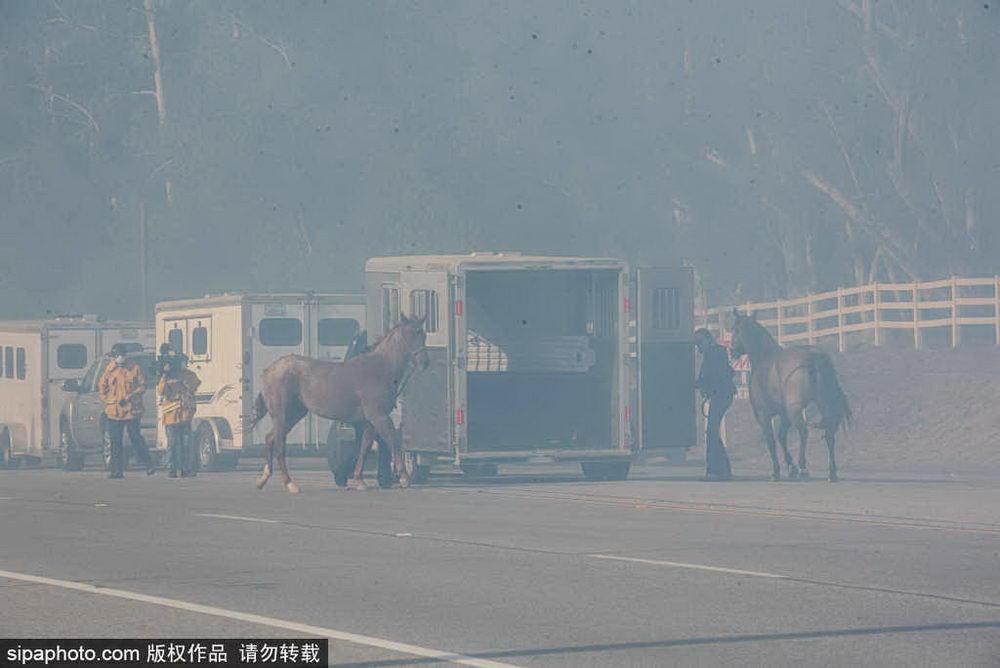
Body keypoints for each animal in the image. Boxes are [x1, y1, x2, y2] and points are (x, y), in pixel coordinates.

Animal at [252, 314, 428, 490]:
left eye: (424, 334)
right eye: (411, 333)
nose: (425, 363)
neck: (379, 369)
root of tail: (269, 370)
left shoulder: (369, 421)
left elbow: (364, 447)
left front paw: (359, 480)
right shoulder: (379, 416)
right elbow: (393, 440)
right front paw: (404, 478)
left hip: (294, 414)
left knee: (270, 438)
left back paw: (263, 479)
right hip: (282, 414)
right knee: (279, 445)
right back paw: (290, 484)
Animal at [728, 310, 852, 482]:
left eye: (734, 329)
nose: (731, 351)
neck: (764, 357)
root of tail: (814, 358)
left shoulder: (763, 414)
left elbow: (771, 439)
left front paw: (776, 471)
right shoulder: (784, 414)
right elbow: (781, 437)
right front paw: (790, 467)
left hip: (796, 410)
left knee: (803, 431)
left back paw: (803, 467)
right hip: (823, 406)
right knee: (829, 434)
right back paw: (831, 472)